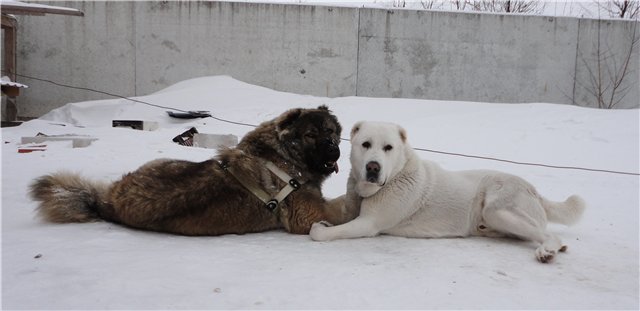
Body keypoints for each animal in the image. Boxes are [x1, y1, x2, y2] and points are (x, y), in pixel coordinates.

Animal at [28, 106, 360, 235]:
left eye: (331, 132)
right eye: (311, 135)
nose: (335, 149)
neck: (284, 154)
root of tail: (107, 202)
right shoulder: (309, 215)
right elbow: (338, 211)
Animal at [310, 122, 584, 264]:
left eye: (388, 147)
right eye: (365, 144)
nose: (373, 167)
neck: (396, 175)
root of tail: (535, 191)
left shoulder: (369, 223)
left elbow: (321, 234)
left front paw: (320, 227)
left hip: (497, 210)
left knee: (549, 234)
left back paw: (547, 251)